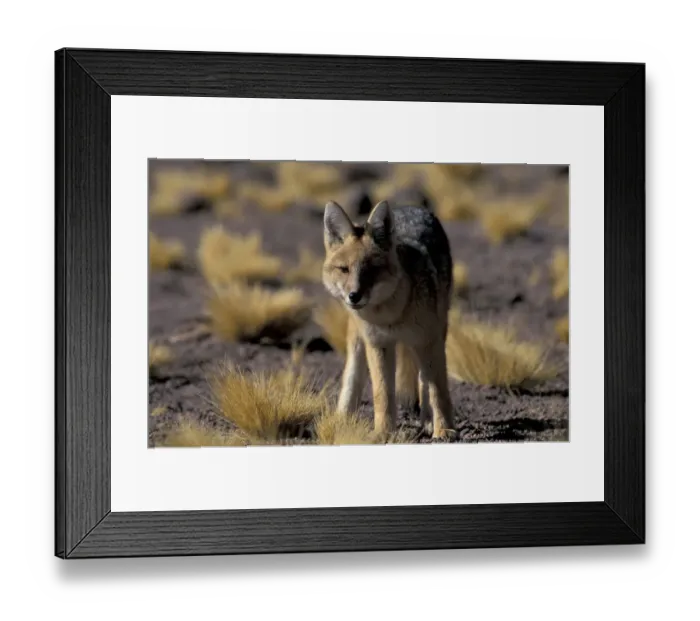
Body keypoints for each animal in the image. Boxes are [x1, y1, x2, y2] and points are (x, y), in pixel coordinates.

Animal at [322, 199, 457, 441]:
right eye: (344, 269)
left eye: (371, 270)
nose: (354, 296)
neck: (391, 316)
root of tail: (408, 206)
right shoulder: (378, 344)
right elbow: (382, 392)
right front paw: (383, 433)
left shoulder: (428, 341)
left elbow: (438, 390)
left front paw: (444, 429)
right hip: (358, 339)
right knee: (353, 375)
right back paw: (341, 419)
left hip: (437, 331)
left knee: (424, 379)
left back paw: (428, 420)